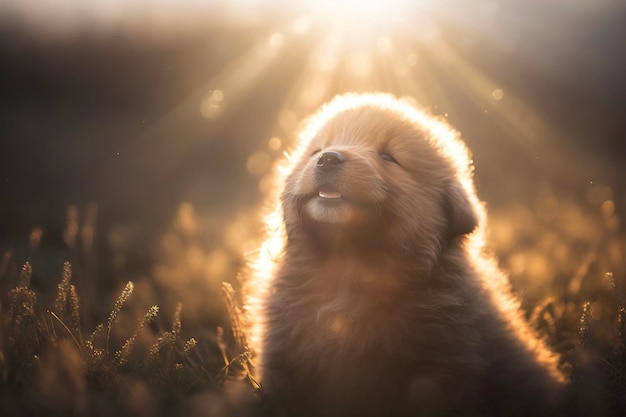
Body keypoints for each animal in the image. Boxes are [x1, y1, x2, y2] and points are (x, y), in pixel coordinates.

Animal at [243, 92, 564, 414]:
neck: (349, 267)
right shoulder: (281, 356)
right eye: (316, 151)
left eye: (388, 157)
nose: (327, 158)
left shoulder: (442, 365)